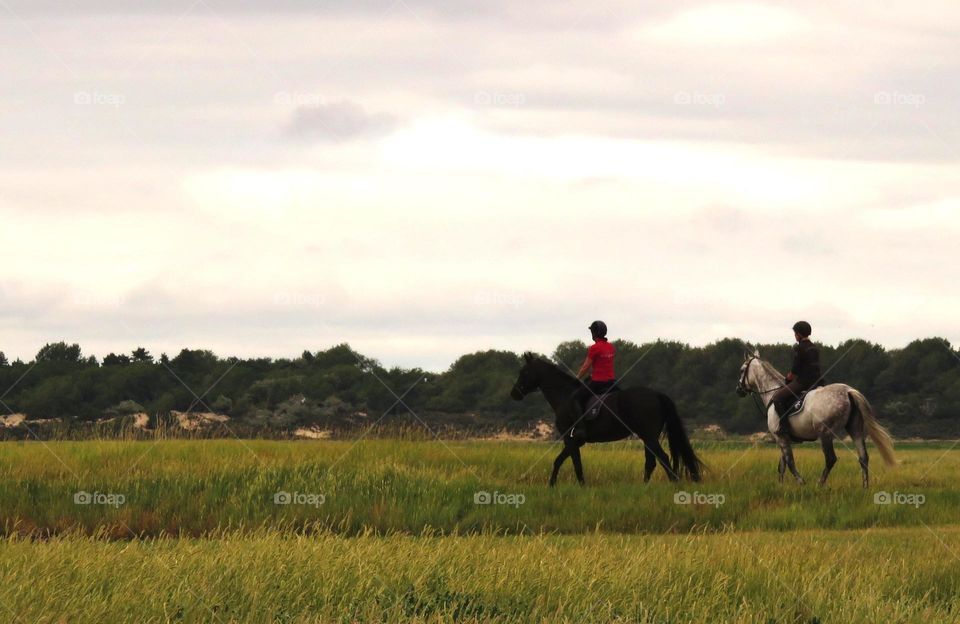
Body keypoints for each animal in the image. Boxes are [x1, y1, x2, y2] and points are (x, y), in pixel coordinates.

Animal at [506, 354, 700, 486]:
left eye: (524, 372)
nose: (514, 394)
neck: (564, 396)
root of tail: (656, 394)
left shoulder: (570, 438)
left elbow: (571, 462)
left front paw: (575, 486)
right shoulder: (575, 441)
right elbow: (563, 460)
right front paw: (554, 485)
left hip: (649, 435)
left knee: (663, 458)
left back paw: (674, 483)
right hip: (648, 436)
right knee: (651, 462)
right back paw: (645, 486)